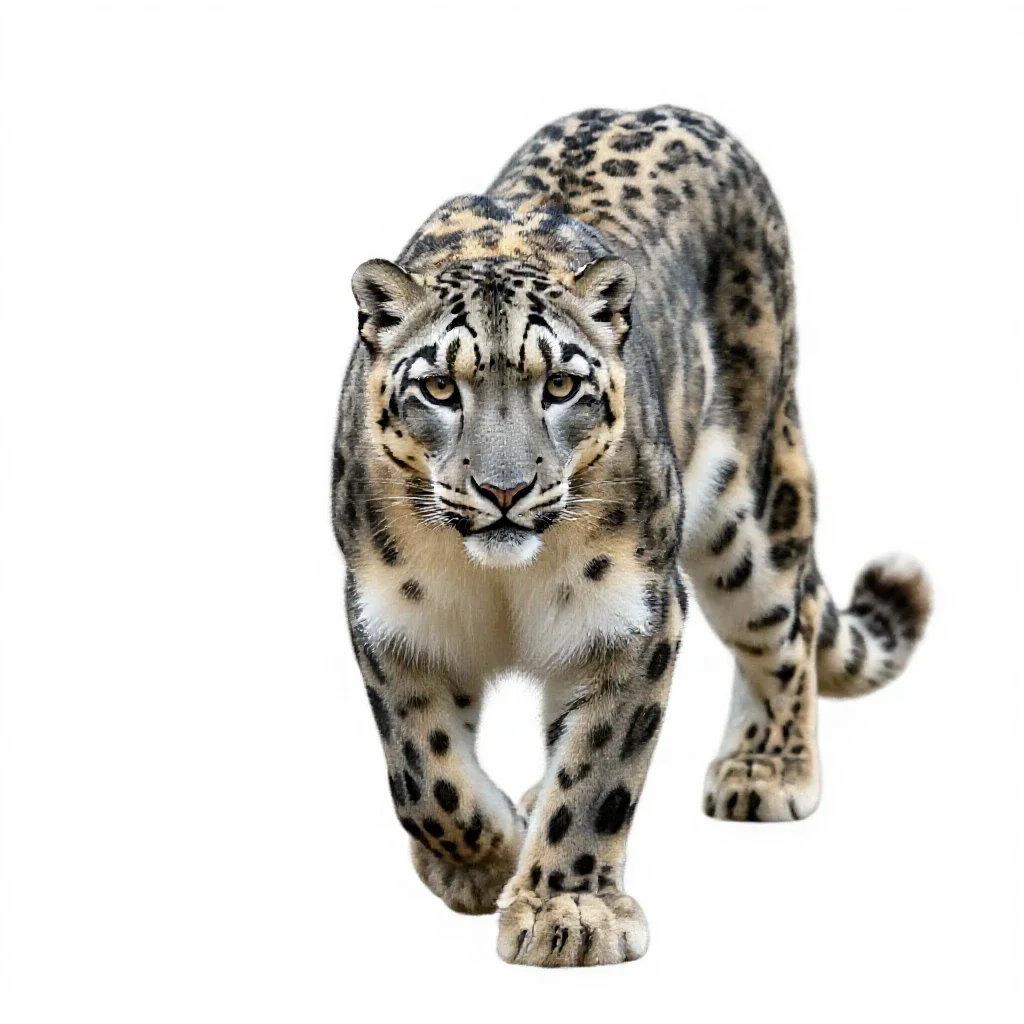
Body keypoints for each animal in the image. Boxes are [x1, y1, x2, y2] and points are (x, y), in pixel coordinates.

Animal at [331, 106, 932, 967]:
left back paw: (765, 767)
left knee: (785, 624)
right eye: (441, 387)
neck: (497, 586)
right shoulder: (392, 616)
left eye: (560, 384)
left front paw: (569, 911)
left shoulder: (631, 615)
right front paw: (482, 856)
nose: (505, 491)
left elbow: (598, 770)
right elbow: (424, 774)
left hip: (752, 507)